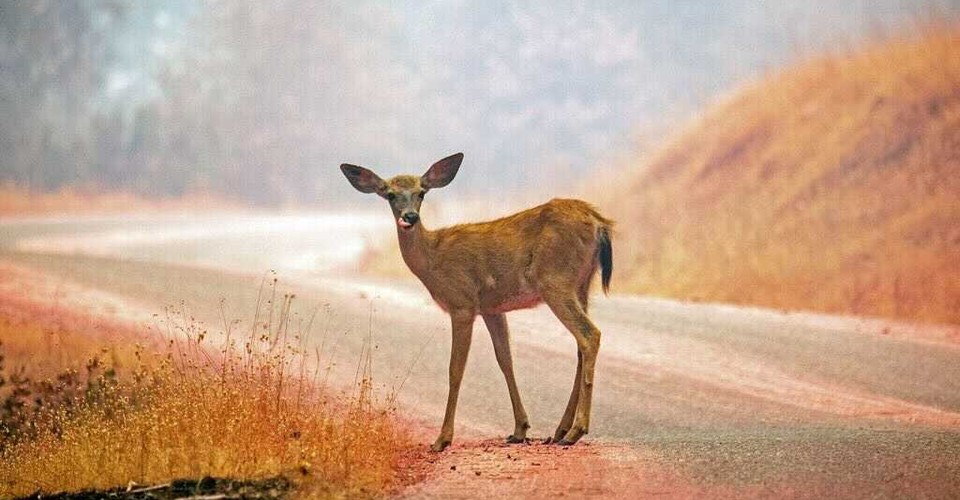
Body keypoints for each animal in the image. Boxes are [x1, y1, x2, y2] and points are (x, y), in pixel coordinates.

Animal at [340, 152, 613, 452]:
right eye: (389, 194)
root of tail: (600, 223)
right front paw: (519, 429)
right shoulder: (492, 309)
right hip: (582, 285)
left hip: (556, 281)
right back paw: (560, 429)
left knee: (590, 335)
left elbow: (455, 369)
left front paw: (442, 439)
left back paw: (576, 430)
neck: (432, 260)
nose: (409, 216)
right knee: (580, 346)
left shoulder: (462, 303)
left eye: (421, 192)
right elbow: (505, 360)